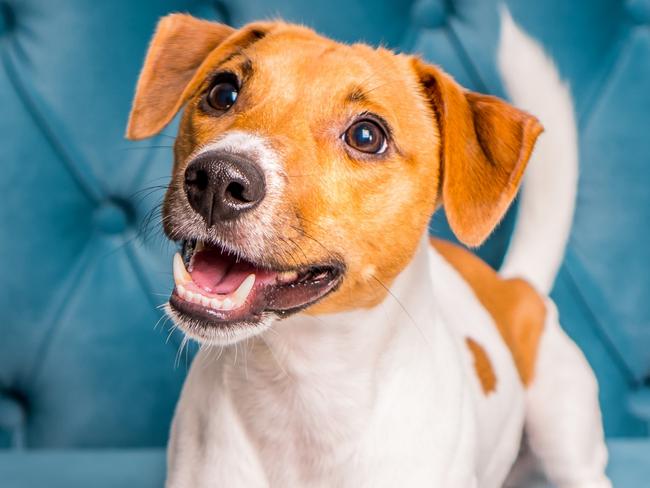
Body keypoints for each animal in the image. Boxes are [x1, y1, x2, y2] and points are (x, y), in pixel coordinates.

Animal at [125, 13, 608, 486]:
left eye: (365, 136)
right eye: (222, 93)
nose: (217, 179)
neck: (302, 388)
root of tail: (514, 286)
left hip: (567, 440)